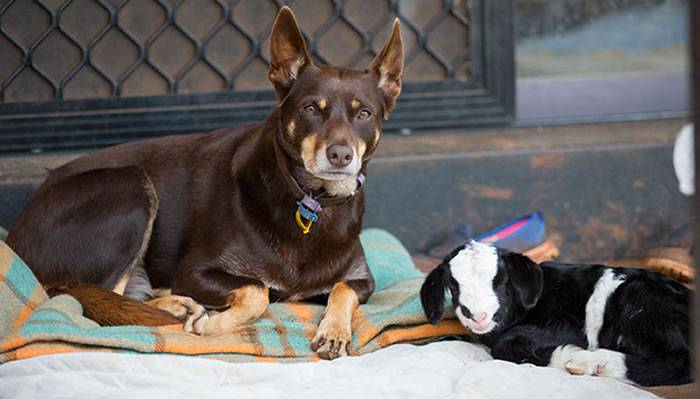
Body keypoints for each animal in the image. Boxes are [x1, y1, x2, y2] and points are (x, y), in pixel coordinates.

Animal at [5, 7, 402, 362]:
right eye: (310, 109)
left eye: (364, 114)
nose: (340, 155)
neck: (311, 202)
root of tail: (17, 231)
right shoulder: (195, 272)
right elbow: (258, 290)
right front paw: (213, 324)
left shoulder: (362, 279)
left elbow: (342, 289)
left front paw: (334, 331)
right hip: (129, 185)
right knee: (91, 296)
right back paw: (179, 307)